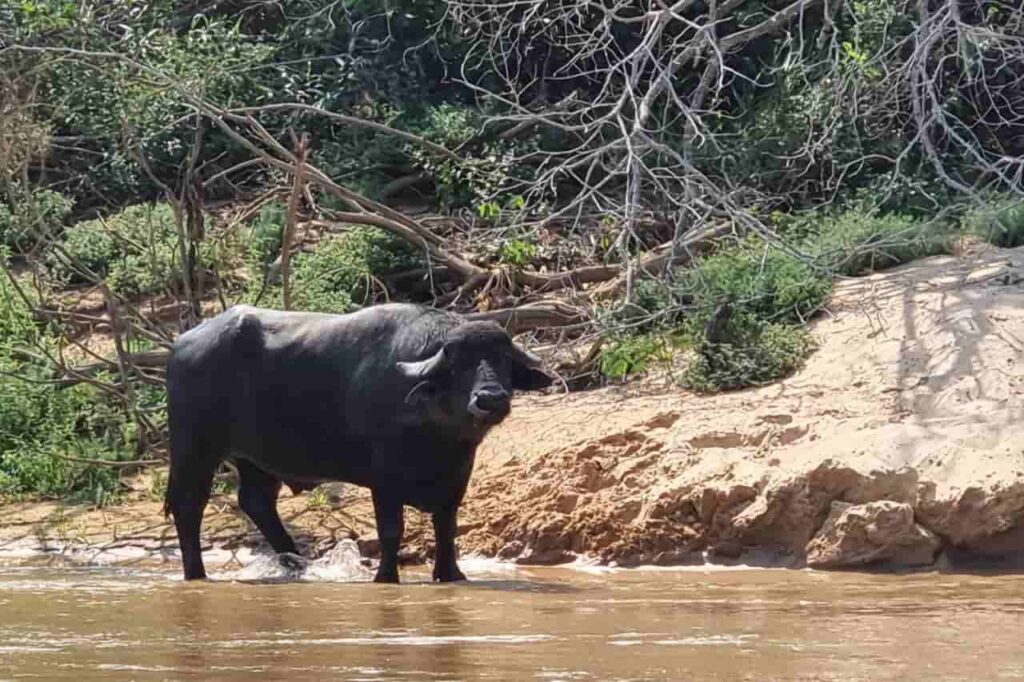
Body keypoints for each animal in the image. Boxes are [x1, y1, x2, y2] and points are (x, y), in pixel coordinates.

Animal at [162, 301, 557, 577]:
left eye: (503, 360)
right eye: (459, 366)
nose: (490, 398)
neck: (437, 436)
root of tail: (181, 346)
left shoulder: (457, 479)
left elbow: (446, 529)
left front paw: (451, 575)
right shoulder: (384, 482)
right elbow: (391, 531)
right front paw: (386, 577)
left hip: (255, 459)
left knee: (256, 502)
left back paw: (297, 562)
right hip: (194, 449)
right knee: (189, 507)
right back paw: (196, 574)